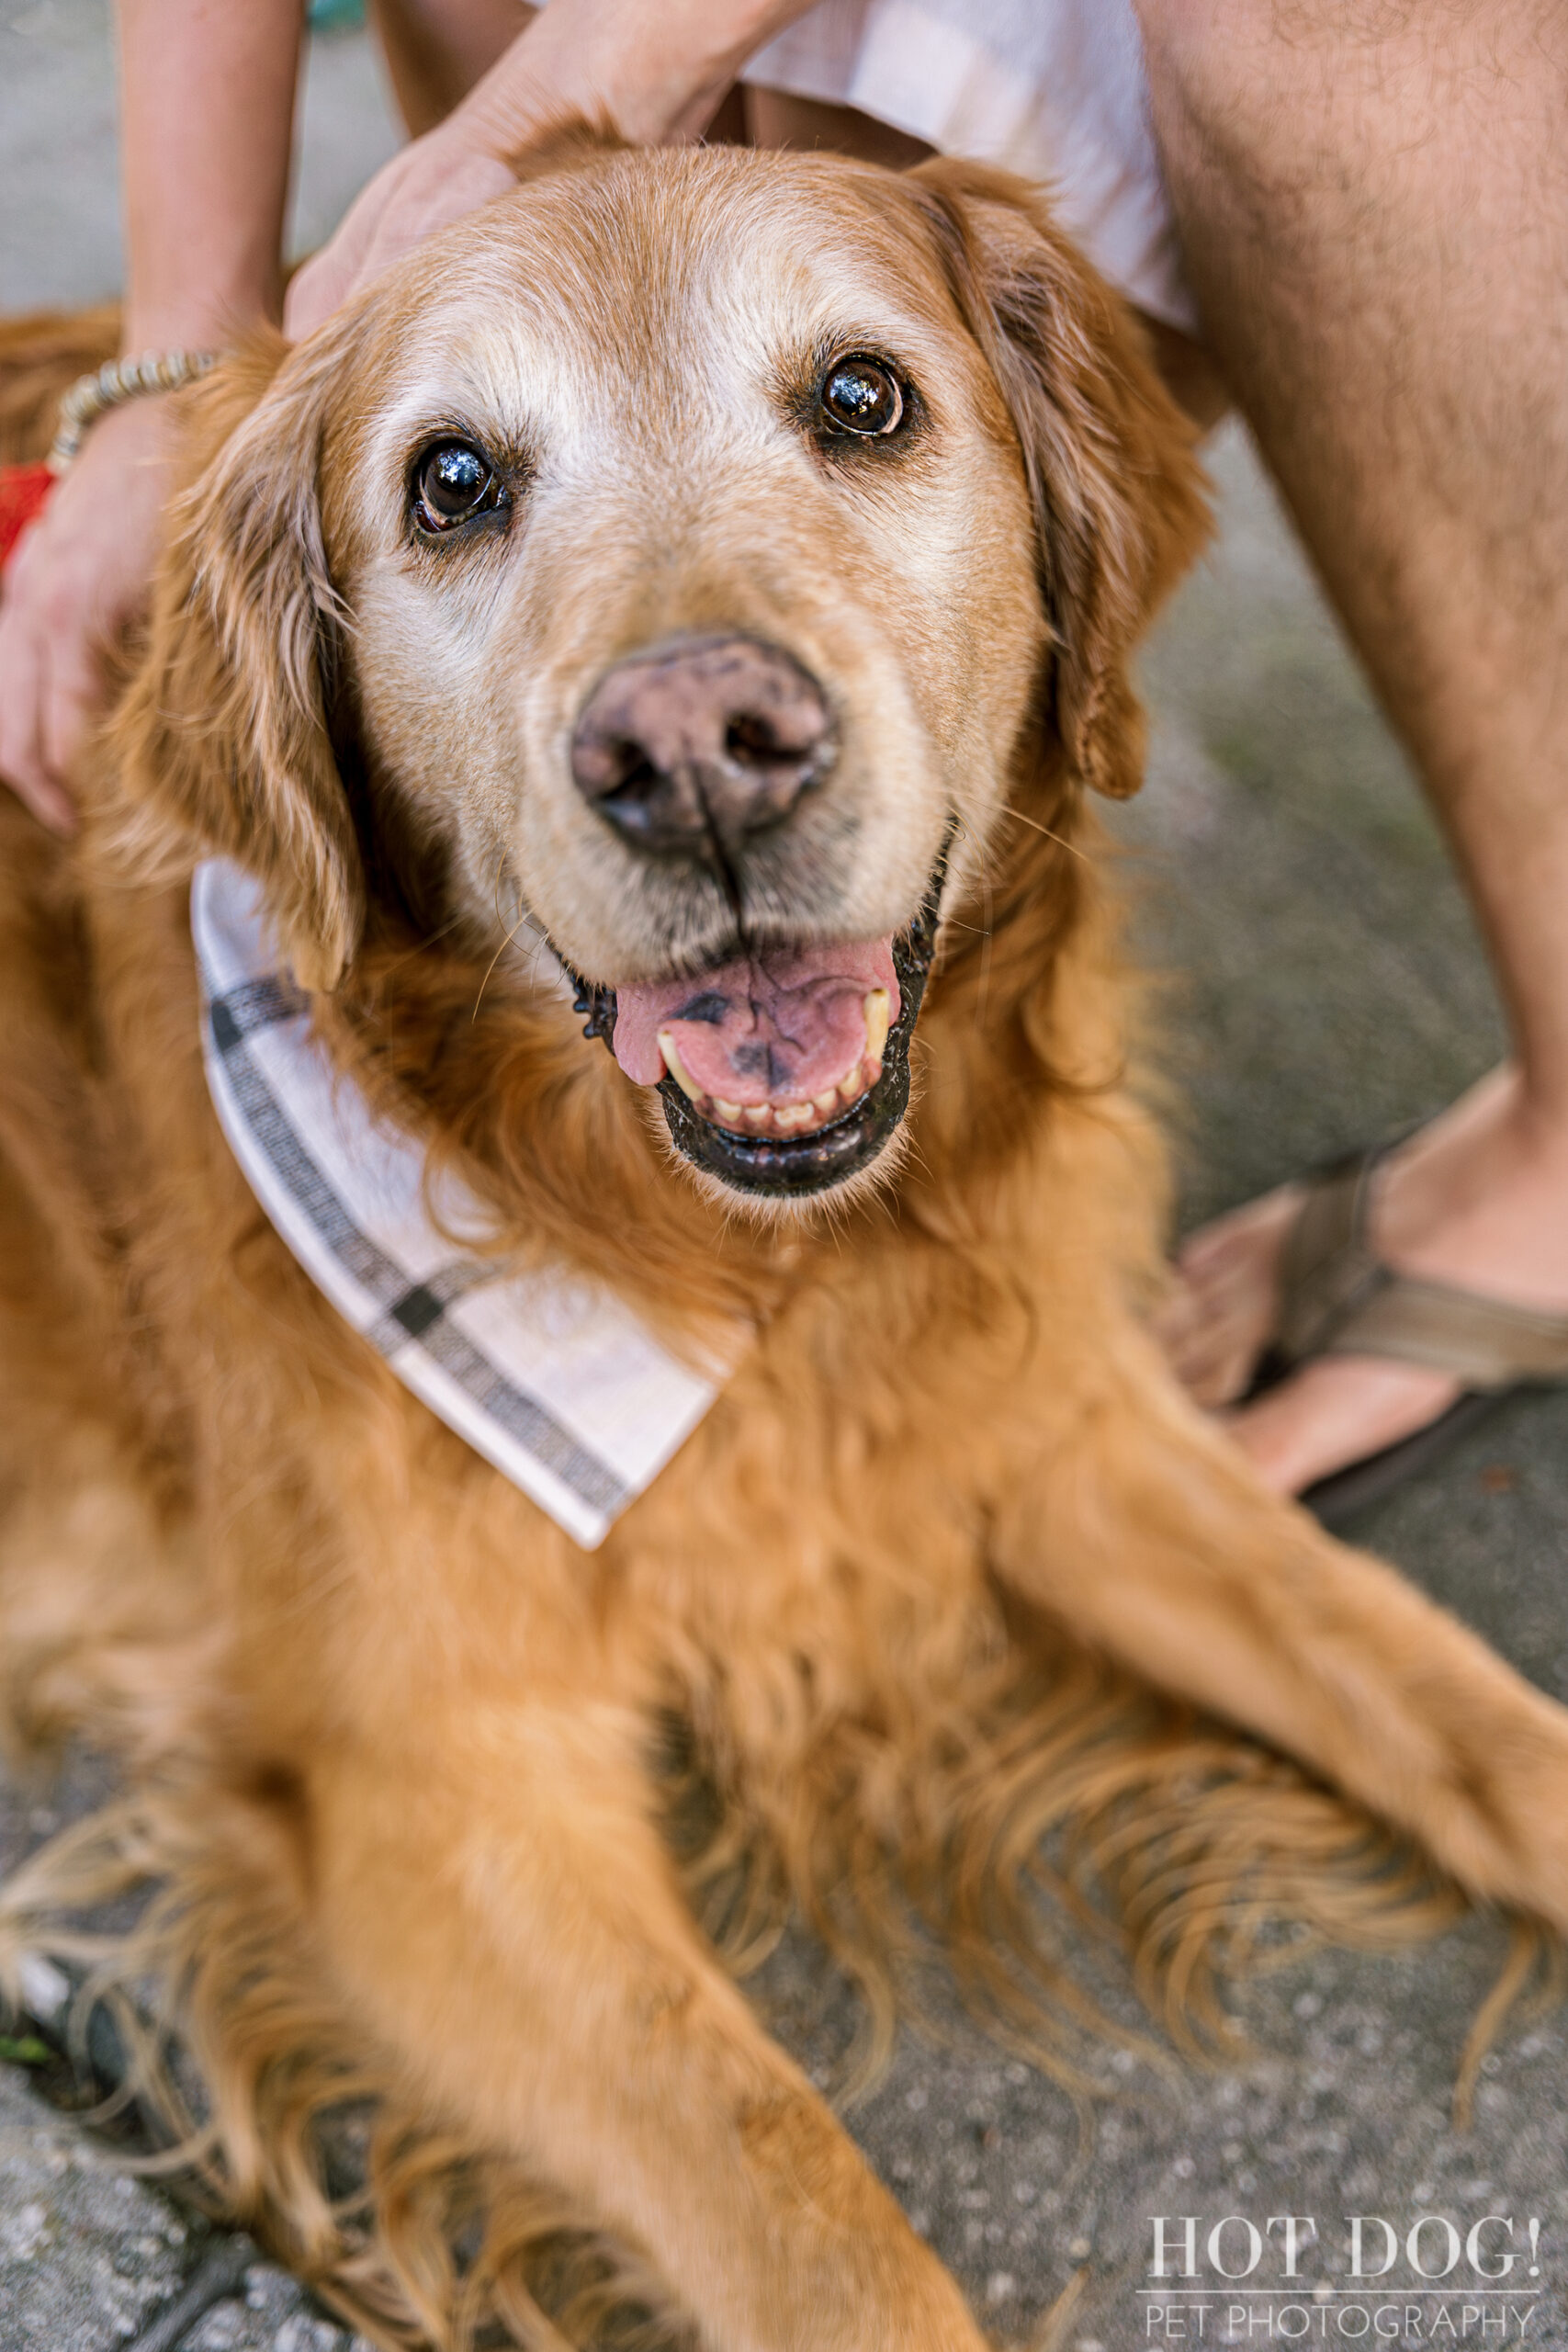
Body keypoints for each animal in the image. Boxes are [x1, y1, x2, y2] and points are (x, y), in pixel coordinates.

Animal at [3, 137, 1568, 2342]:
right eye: (450, 482)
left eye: (859, 398)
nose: (694, 752)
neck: (764, 1282)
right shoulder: (425, 1799)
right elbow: (804, 2211)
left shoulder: (1048, 1427)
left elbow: (1441, 1695)